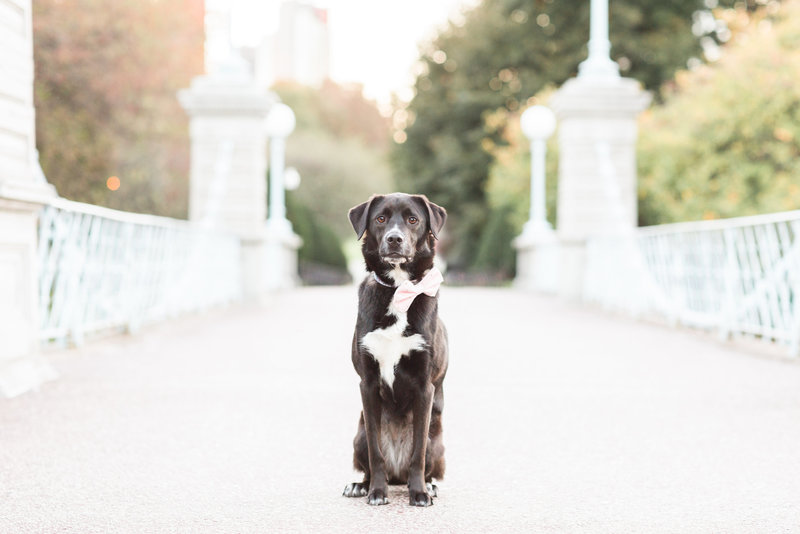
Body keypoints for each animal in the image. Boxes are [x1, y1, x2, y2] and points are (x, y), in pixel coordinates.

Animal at [340, 194, 446, 510]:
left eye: (413, 219)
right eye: (380, 219)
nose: (394, 239)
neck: (399, 290)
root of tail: (397, 475)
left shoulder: (424, 387)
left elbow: (417, 453)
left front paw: (419, 494)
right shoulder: (368, 383)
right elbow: (377, 454)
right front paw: (376, 492)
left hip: (437, 440)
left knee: (424, 461)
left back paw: (428, 485)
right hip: (359, 435)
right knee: (372, 459)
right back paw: (360, 485)